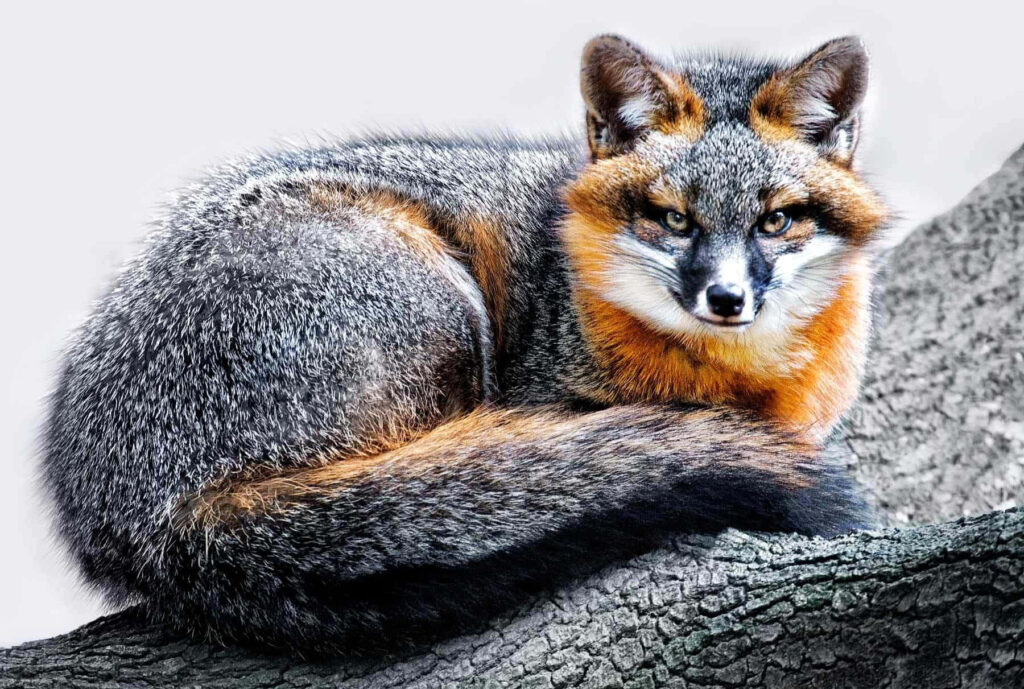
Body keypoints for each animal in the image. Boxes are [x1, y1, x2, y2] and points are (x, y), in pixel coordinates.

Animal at [42, 34, 889, 654]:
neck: (736, 379)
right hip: (444, 304)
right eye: (672, 218)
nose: (726, 299)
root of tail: (143, 509)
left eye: (776, 221)